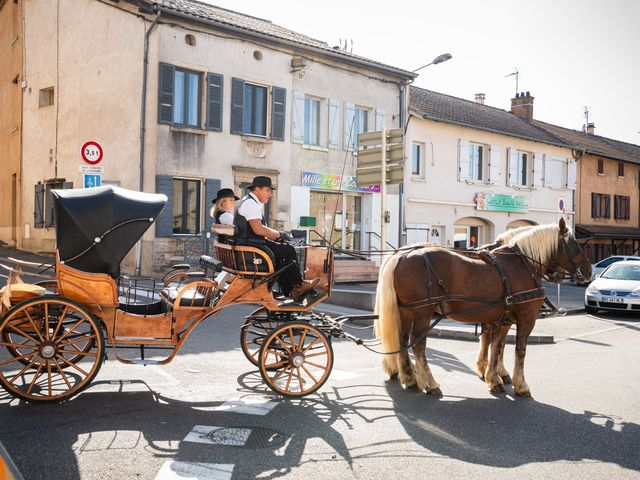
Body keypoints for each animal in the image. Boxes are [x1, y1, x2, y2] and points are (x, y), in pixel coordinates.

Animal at [376, 219, 592, 396]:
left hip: (406, 312)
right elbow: (518, 350)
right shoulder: (526, 319)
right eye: (574, 244)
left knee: (402, 340)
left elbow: (496, 346)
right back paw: (429, 383)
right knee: (418, 346)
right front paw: (520, 384)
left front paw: (494, 377)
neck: (524, 262)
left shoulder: (502, 319)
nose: (589, 270)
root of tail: (402, 256)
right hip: (422, 313)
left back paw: (409, 378)